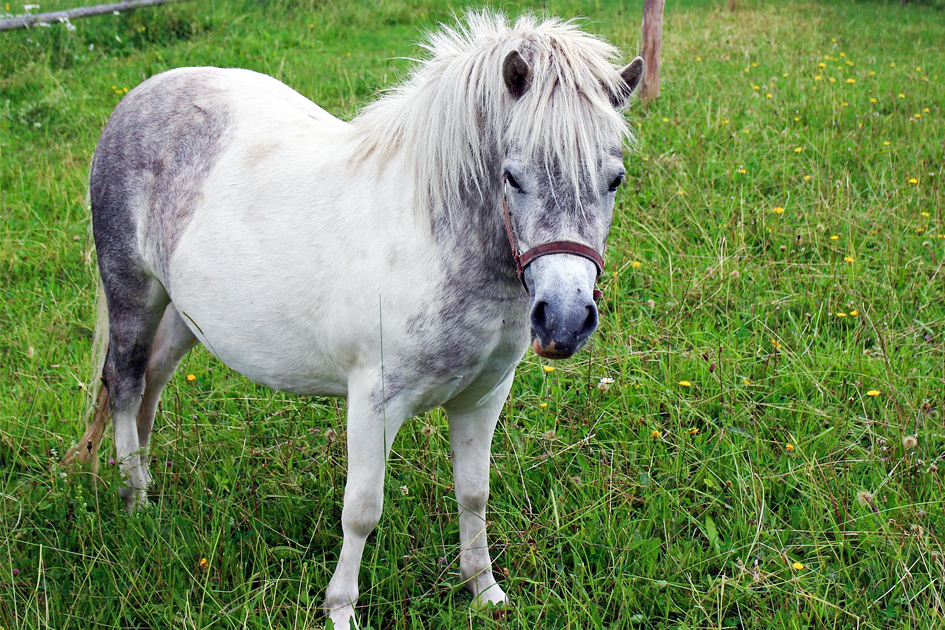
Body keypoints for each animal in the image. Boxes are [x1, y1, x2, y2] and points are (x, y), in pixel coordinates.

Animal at [63, 11, 642, 628]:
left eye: (615, 180)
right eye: (512, 177)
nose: (565, 320)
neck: (433, 237)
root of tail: (140, 97)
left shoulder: (483, 398)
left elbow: (474, 493)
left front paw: (484, 592)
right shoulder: (374, 401)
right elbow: (362, 510)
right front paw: (340, 608)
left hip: (181, 314)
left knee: (152, 383)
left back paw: (145, 487)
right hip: (133, 293)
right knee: (125, 385)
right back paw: (134, 502)